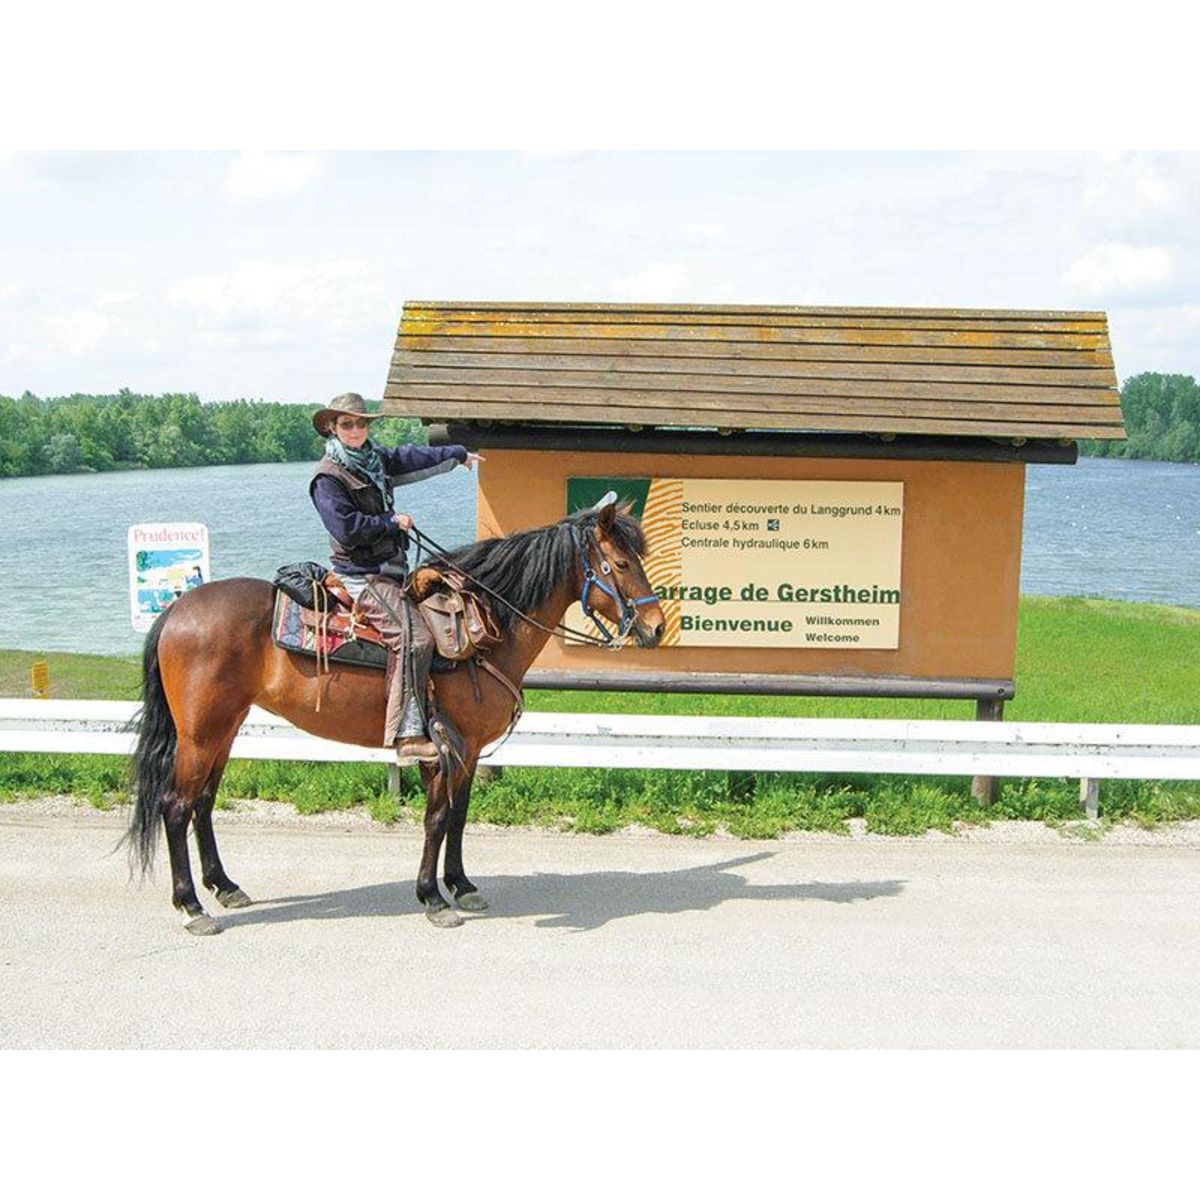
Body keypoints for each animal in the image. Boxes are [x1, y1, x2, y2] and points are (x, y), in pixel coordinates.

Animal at [125, 499, 665, 934]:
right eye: (620, 562)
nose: (656, 626)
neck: (487, 629)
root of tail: (176, 610)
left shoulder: (470, 750)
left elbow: (458, 817)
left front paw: (461, 885)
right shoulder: (446, 747)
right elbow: (436, 817)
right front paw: (432, 897)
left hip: (225, 729)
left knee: (203, 802)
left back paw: (224, 886)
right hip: (200, 734)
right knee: (176, 805)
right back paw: (192, 906)